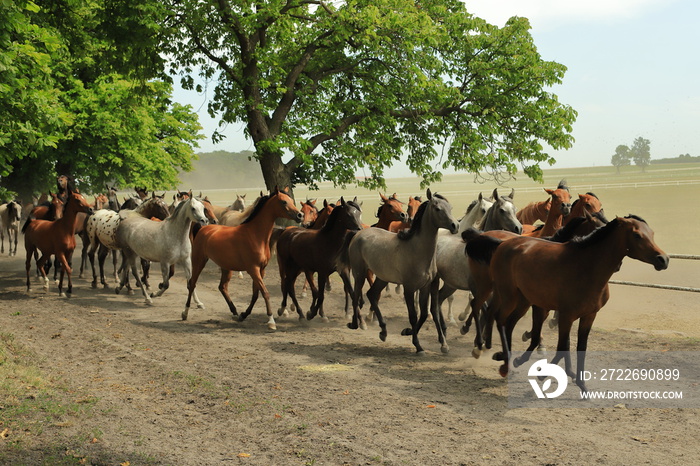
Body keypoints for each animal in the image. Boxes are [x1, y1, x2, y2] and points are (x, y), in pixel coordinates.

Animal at [182, 187, 302, 330]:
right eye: (283, 202)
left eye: (291, 200)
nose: (300, 215)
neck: (255, 235)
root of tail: (204, 229)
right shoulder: (253, 270)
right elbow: (265, 293)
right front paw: (271, 321)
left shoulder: (261, 270)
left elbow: (256, 294)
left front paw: (243, 315)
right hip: (199, 261)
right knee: (192, 284)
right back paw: (185, 312)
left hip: (226, 267)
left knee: (222, 287)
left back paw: (234, 312)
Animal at [344, 189, 462, 354]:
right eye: (438, 209)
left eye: (450, 207)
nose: (455, 226)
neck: (416, 249)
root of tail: (358, 234)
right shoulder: (409, 288)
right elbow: (413, 316)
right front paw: (418, 346)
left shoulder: (426, 287)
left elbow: (425, 313)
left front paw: (441, 344)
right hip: (360, 273)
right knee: (356, 296)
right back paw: (356, 324)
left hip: (382, 277)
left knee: (372, 295)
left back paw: (383, 332)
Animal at [464, 217, 668, 392]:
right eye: (637, 235)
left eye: (652, 233)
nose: (663, 259)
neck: (586, 268)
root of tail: (502, 244)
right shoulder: (566, 314)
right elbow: (562, 345)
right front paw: (547, 374)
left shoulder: (588, 316)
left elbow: (577, 347)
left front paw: (582, 384)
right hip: (507, 294)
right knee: (496, 317)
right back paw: (498, 358)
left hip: (522, 300)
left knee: (506, 321)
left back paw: (502, 356)